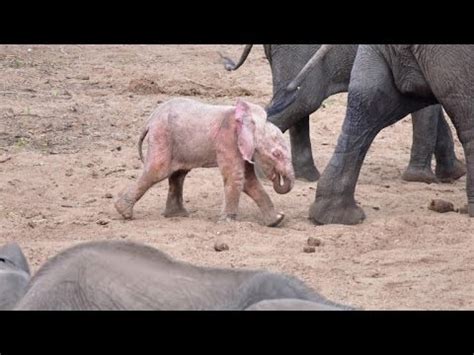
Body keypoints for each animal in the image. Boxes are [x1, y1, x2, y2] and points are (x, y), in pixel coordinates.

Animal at [114, 98, 292, 228]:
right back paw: (124, 212)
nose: (277, 177)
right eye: (276, 154)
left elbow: (249, 181)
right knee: (157, 170)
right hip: (162, 136)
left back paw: (178, 215)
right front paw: (227, 223)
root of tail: (149, 120)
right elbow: (236, 177)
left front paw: (277, 220)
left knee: (178, 175)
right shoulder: (227, 140)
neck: (250, 119)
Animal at [224, 44, 464, 185]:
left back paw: (307, 176)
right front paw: (422, 179)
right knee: (302, 101)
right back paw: (265, 174)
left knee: (298, 103)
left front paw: (453, 174)